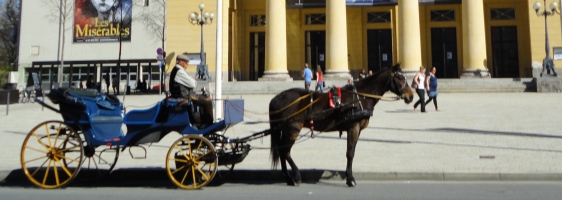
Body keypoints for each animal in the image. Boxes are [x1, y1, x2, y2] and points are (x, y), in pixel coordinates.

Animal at [266, 63, 412, 187]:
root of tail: (276, 98)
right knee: (285, 151)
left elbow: (352, 152)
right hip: (293, 129)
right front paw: (350, 179)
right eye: (400, 77)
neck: (360, 97)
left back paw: (288, 178)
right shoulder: (353, 127)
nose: (410, 96)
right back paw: (295, 176)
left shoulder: (357, 130)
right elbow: (350, 153)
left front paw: (349, 177)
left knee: (281, 150)